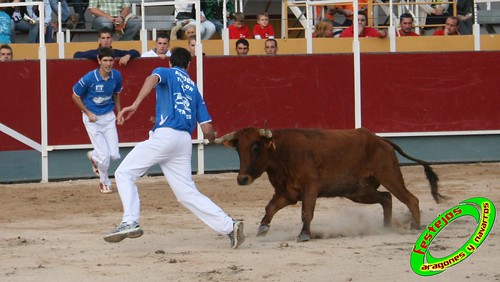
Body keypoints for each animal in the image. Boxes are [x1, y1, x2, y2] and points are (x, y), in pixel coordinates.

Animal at [217, 126, 444, 241]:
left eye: (256, 147)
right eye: (238, 149)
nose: (242, 179)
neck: (281, 152)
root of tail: (382, 141)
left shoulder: (310, 187)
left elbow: (306, 212)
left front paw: (304, 235)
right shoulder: (287, 193)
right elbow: (270, 207)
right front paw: (263, 228)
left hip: (390, 176)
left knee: (410, 199)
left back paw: (416, 226)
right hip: (358, 190)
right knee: (386, 198)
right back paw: (386, 227)